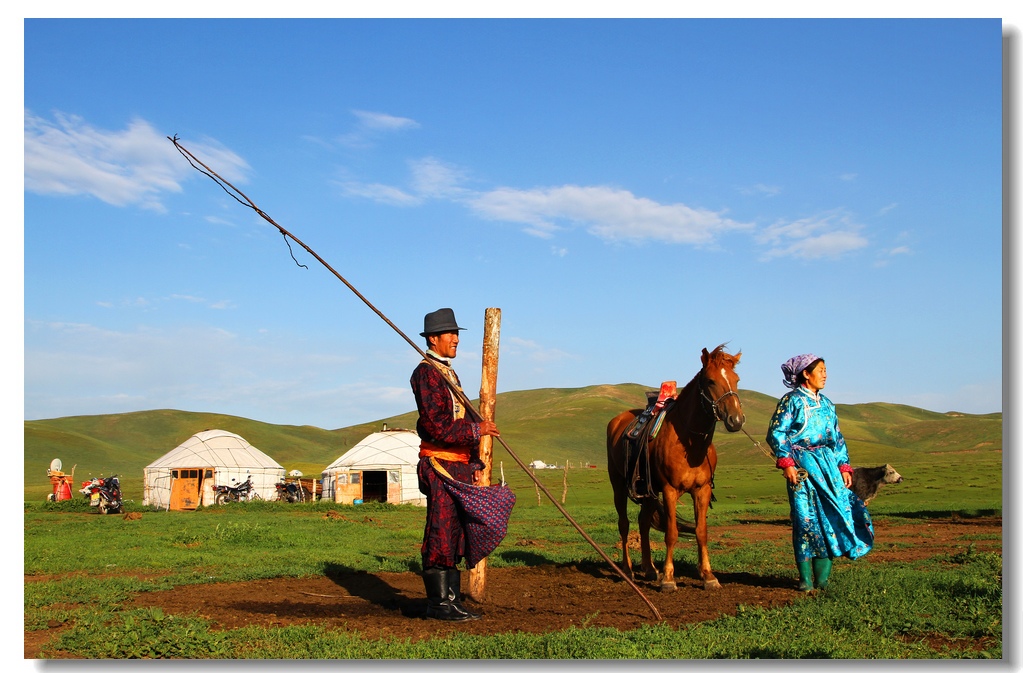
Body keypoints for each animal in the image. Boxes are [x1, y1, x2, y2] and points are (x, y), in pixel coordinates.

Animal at [605, 343, 744, 589]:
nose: (735, 420)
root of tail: (616, 422)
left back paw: (650, 569)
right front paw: (669, 578)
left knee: (643, 522)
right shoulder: (669, 490)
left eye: (736, 379)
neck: (690, 444)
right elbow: (671, 532)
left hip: (647, 491)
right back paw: (627, 570)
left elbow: (701, 532)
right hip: (619, 486)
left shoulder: (701, 490)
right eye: (710, 381)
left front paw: (708, 576)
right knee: (624, 524)